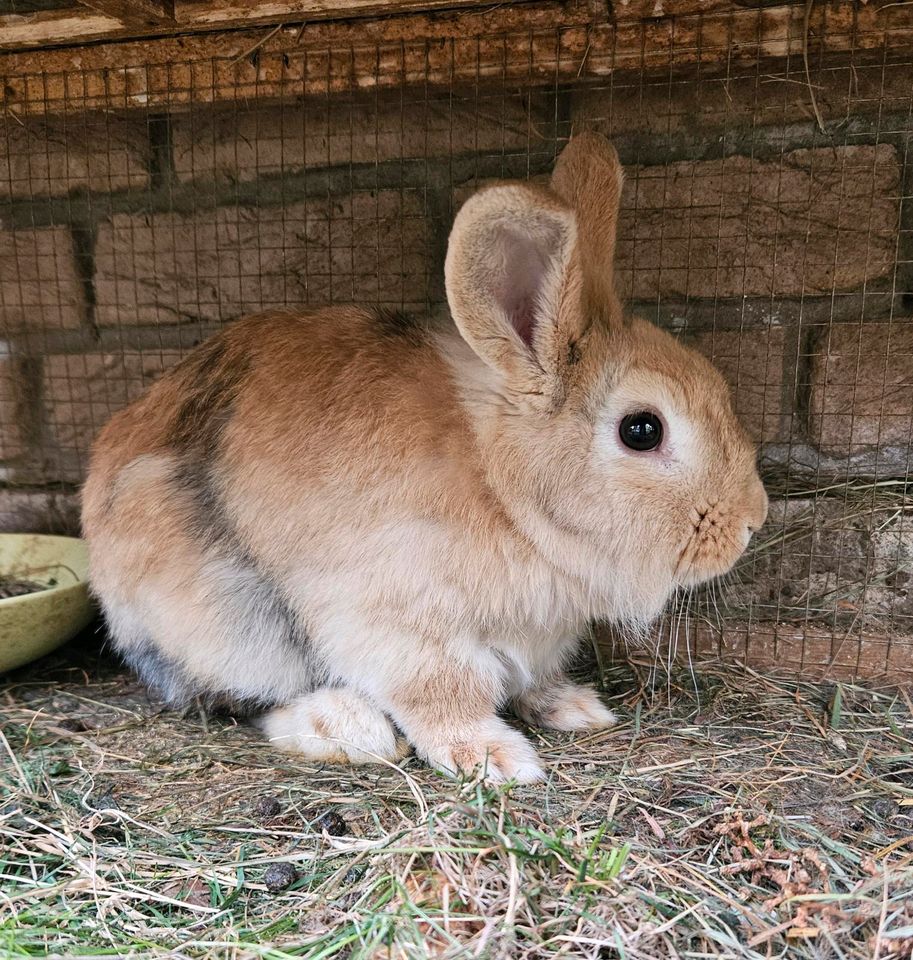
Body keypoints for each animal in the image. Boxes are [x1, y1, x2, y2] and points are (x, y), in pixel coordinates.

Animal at [80, 133, 768, 780]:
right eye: (642, 430)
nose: (751, 520)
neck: (503, 491)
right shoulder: (403, 627)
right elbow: (444, 698)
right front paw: (495, 759)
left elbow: (530, 680)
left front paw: (573, 708)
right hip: (230, 624)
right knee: (236, 698)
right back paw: (347, 729)